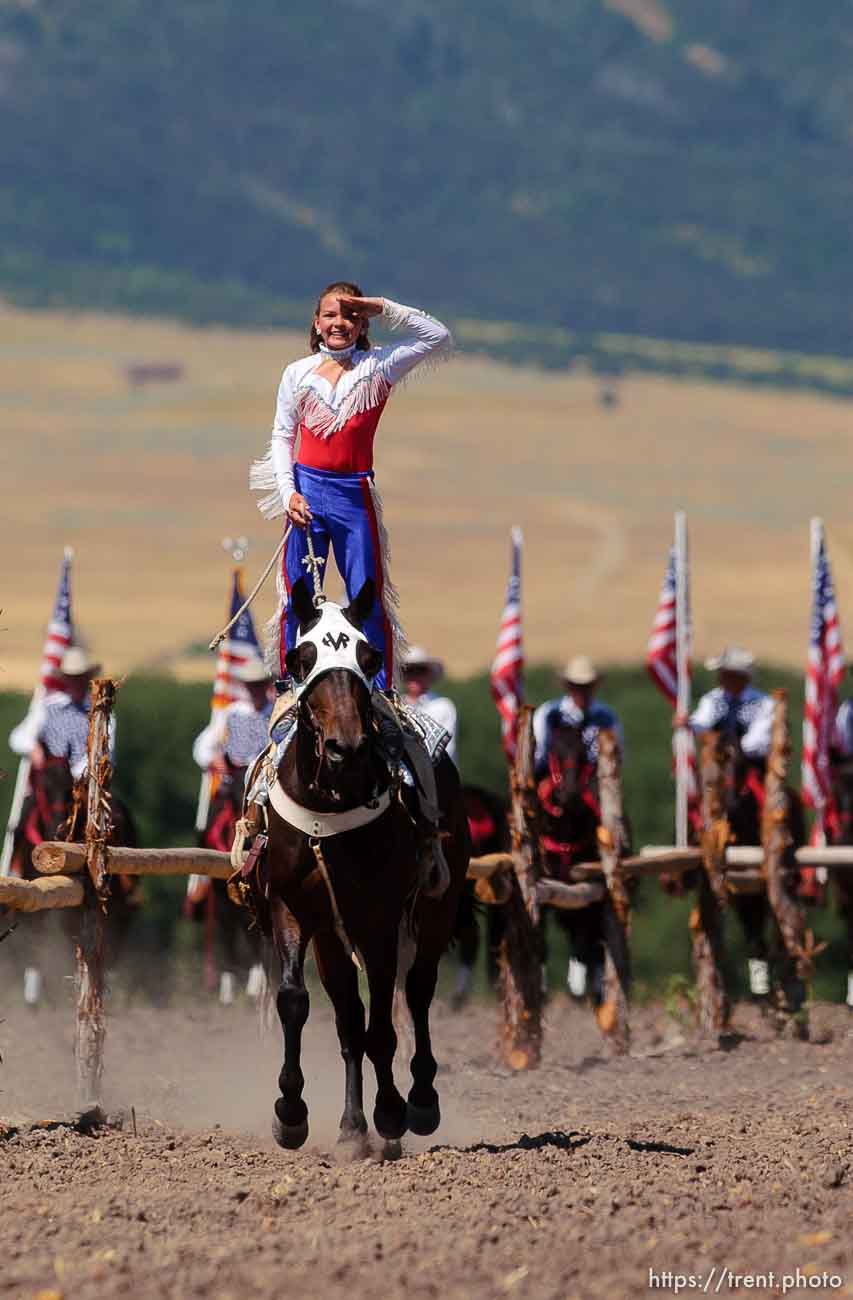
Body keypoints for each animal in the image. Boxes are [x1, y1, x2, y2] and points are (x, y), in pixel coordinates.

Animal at [261, 579, 473, 1149]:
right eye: (303, 657)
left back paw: (417, 1101)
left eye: (369, 655)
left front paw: (392, 1111)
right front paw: (290, 1111)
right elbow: (297, 1002)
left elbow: (384, 1023)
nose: (347, 747)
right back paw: (353, 1127)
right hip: (335, 934)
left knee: (416, 991)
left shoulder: (378, 916)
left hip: (436, 904)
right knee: (350, 1020)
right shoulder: (294, 906)